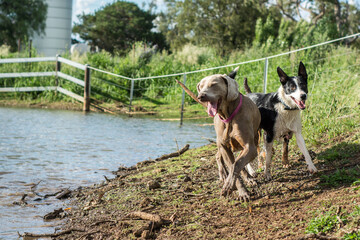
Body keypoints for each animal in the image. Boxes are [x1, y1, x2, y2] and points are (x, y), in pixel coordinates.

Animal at [176, 67, 258, 201]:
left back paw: (246, 178)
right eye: (200, 86)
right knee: (220, 157)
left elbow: (237, 164)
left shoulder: (250, 147)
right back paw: (224, 175)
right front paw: (241, 191)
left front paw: (230, 185)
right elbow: (233, 165)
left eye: (214, 85)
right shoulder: (224, 146)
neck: (228, 116)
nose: (201, 96)